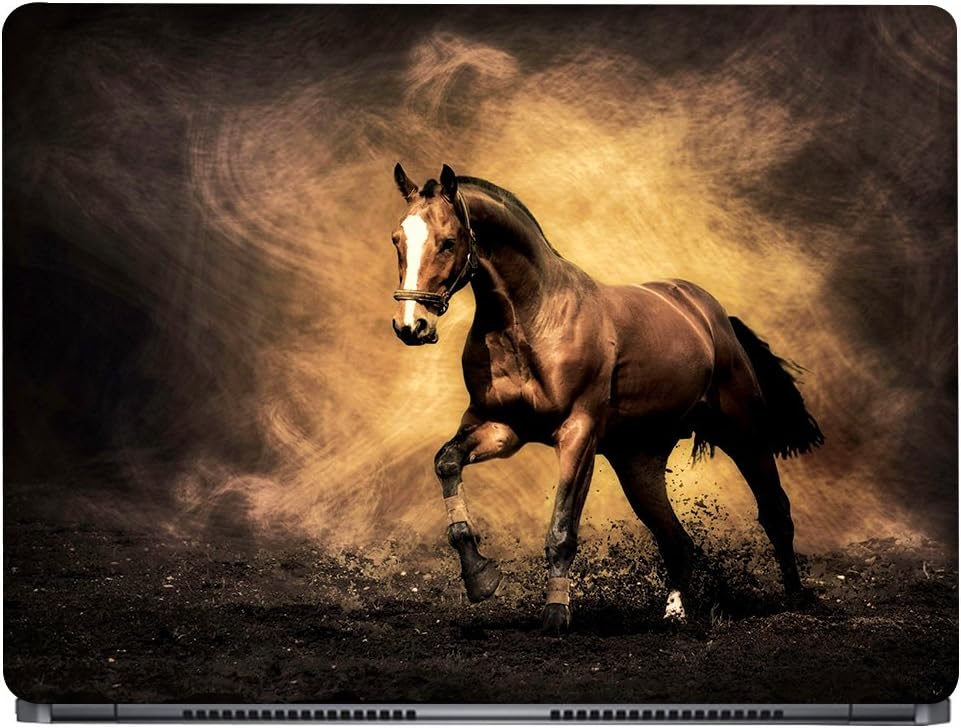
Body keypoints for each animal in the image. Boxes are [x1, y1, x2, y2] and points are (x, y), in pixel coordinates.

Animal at [389, 163, 823, 633]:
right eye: (397, 239)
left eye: (449, 241)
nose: (411, 325)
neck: (532, 319)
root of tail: (712, 315)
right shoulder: (502, 428)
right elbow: (447, 463)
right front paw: (480, 578)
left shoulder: (578, 435)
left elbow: (562, 530)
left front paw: (556, 615)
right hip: (638, 461)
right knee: (676, 540)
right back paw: (674, 615)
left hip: (743, 434)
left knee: (774, 510)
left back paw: (796, 599)